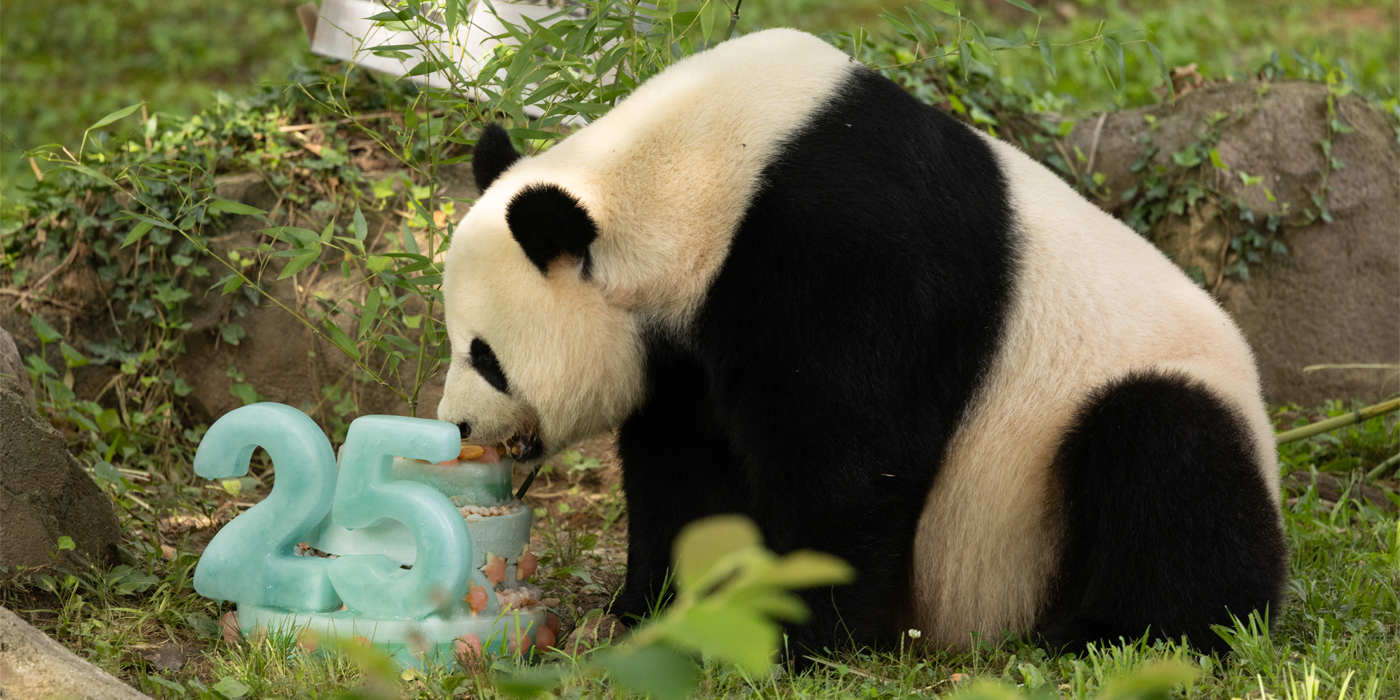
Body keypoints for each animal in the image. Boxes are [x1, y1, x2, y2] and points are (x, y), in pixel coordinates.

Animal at [436, 28, 1288, 655]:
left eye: (485, 356)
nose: (457, 424)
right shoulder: (684, 342)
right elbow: (681, 466)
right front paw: (654, 606)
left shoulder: (845, 247)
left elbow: (849, 457)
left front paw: (787, 631)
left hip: (1087, 445)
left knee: (1168, 457)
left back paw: (1109, 633)